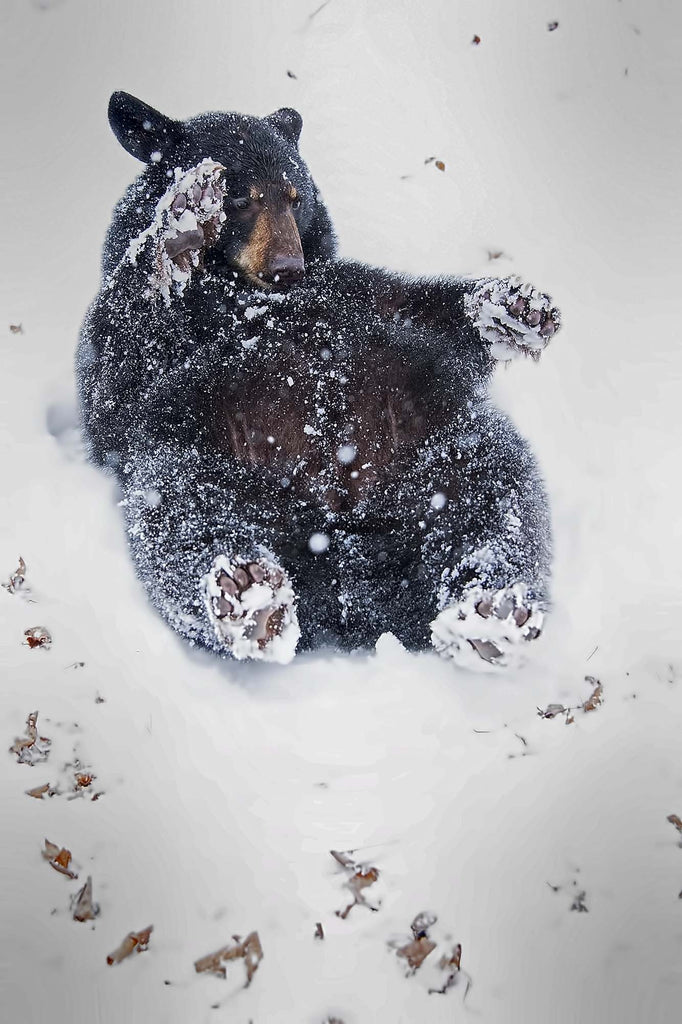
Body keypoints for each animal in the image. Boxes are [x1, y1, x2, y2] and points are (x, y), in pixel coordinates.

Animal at [76, 91, 560, 670]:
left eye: (294, 197)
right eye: (240, 199)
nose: (288, 266)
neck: (248, 297)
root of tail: (344, 558)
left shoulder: (349, 290)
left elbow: (420, 308)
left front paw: (515, 309)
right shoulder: (156, 354)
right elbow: (115, 383)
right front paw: (183, 221)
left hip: (439, 447)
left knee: (498, 493)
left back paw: (492, 608)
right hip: (200, 461)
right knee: (180, 514)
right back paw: (248, 593)